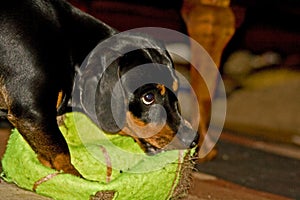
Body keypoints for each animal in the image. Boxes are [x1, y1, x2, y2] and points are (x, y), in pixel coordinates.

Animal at [0, 0, 198, 176]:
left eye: (176, 91)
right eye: (148, 97)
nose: (194, 139)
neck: (70, 46)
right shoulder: (32, 112)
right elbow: (61, 154)